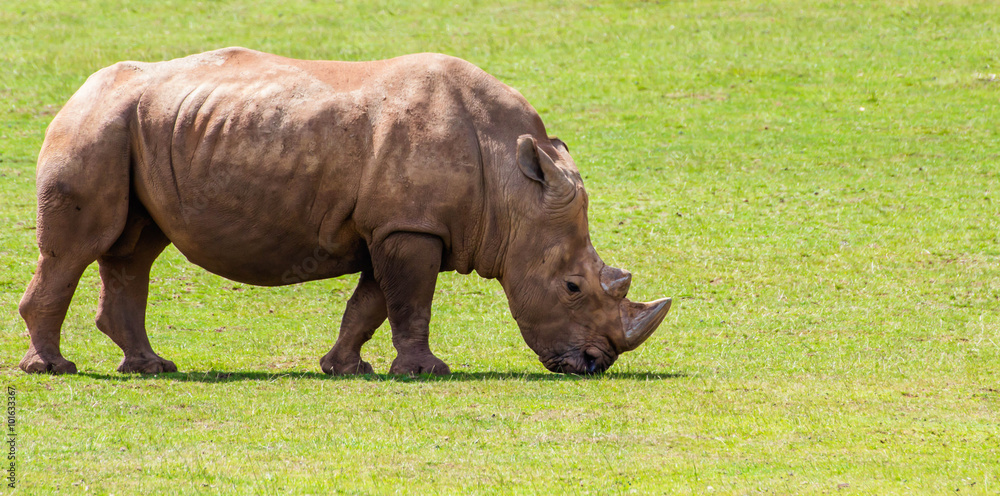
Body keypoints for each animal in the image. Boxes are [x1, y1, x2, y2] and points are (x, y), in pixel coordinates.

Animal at [18, 47, 671, 376]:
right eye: (572, 287)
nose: (596, 363)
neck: (512, 187)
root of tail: (79, 90)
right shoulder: (411, 227)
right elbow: (410, 301)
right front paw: (425, 372)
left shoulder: (396, 225)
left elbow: (372, 302)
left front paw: (345, 368)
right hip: (97, 123)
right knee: (77, 250)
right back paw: (53, 369)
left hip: (137, 127)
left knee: (135, 249)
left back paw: (151, 368)